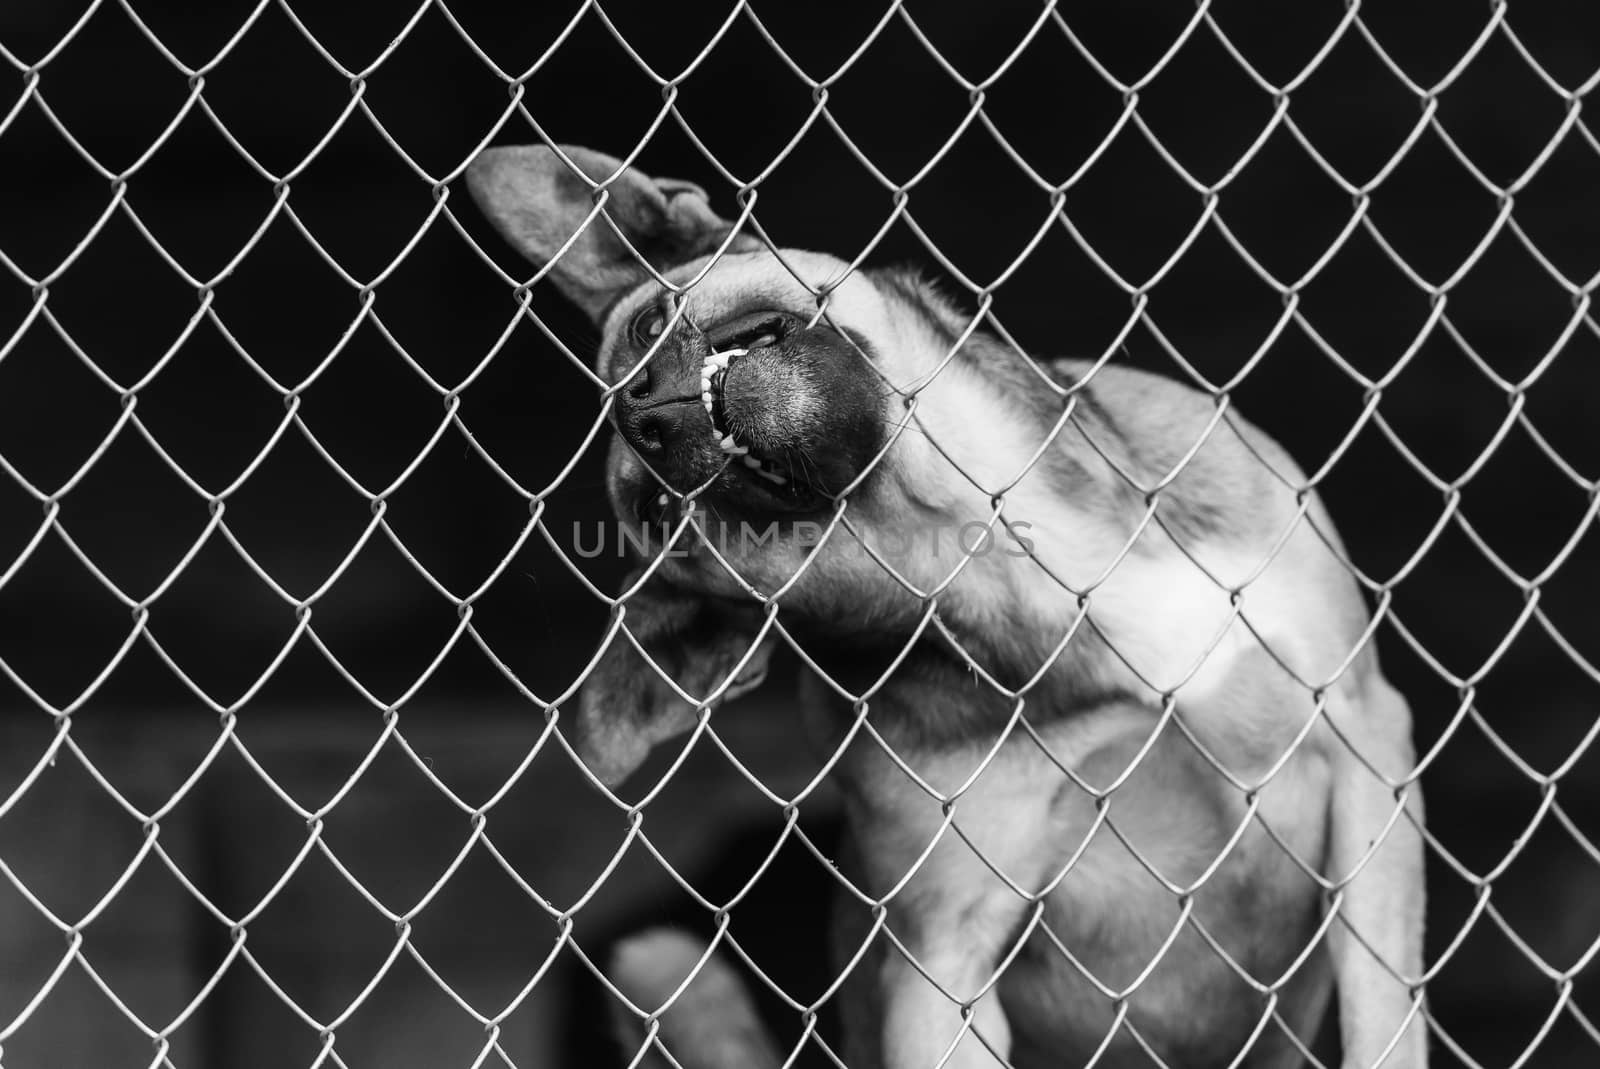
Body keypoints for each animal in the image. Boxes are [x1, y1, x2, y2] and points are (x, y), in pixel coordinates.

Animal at [464, 144, 1427, 1069]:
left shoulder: (1363, 738)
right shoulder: (942, 966)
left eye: (645, 326)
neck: (1002, 541)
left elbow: (1384, 1009)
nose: (644, 418)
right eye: (660, 516)